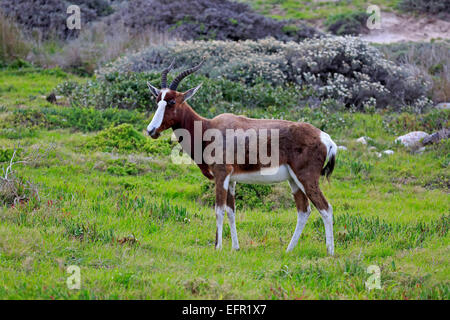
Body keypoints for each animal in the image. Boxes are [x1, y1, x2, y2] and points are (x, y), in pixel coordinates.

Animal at [148, 59, 338, 255]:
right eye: (157, 100)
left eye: (171, 101)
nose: (151, 130)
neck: (209, 127)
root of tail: (325, 138)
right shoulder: (232, 179)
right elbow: (231, 211)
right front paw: (235, 247)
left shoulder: (221, 175)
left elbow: (219, 210)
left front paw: (218, 247)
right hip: (293, 180)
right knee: (303, 211)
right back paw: (288, 250)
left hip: (306, 179)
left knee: (325, 208)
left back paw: (329, 252)